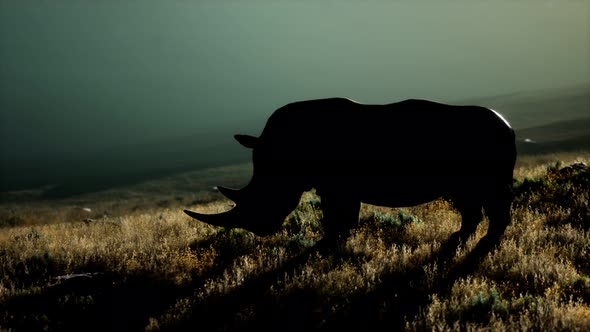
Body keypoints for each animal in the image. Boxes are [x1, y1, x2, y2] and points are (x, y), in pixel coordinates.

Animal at [186, 97, 520, 245]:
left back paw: (484, 242)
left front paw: (329, 244)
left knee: (487, 195)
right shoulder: (333, 184)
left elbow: (338, 215)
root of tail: (509, 126)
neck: (280, 155)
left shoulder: (337, 185)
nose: (260, 230)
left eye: (267, 195)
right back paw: (460, 239)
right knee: (468, 198)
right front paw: (336, 241)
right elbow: (340, 214)